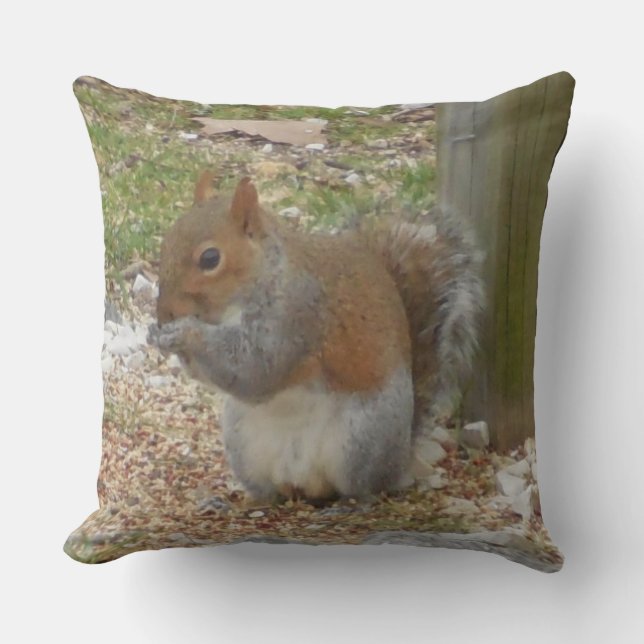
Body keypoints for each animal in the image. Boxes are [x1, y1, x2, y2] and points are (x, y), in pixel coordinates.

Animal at [150, 172, 484, 503]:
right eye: (164, 243)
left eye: (210, 258)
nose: (165, 312)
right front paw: (158, 334)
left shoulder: (296, 315)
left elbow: (255, 369)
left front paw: (185, 332)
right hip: (242, 442)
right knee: (271, 490)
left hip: (361, 439)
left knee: (367, 487)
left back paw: (350, 504)